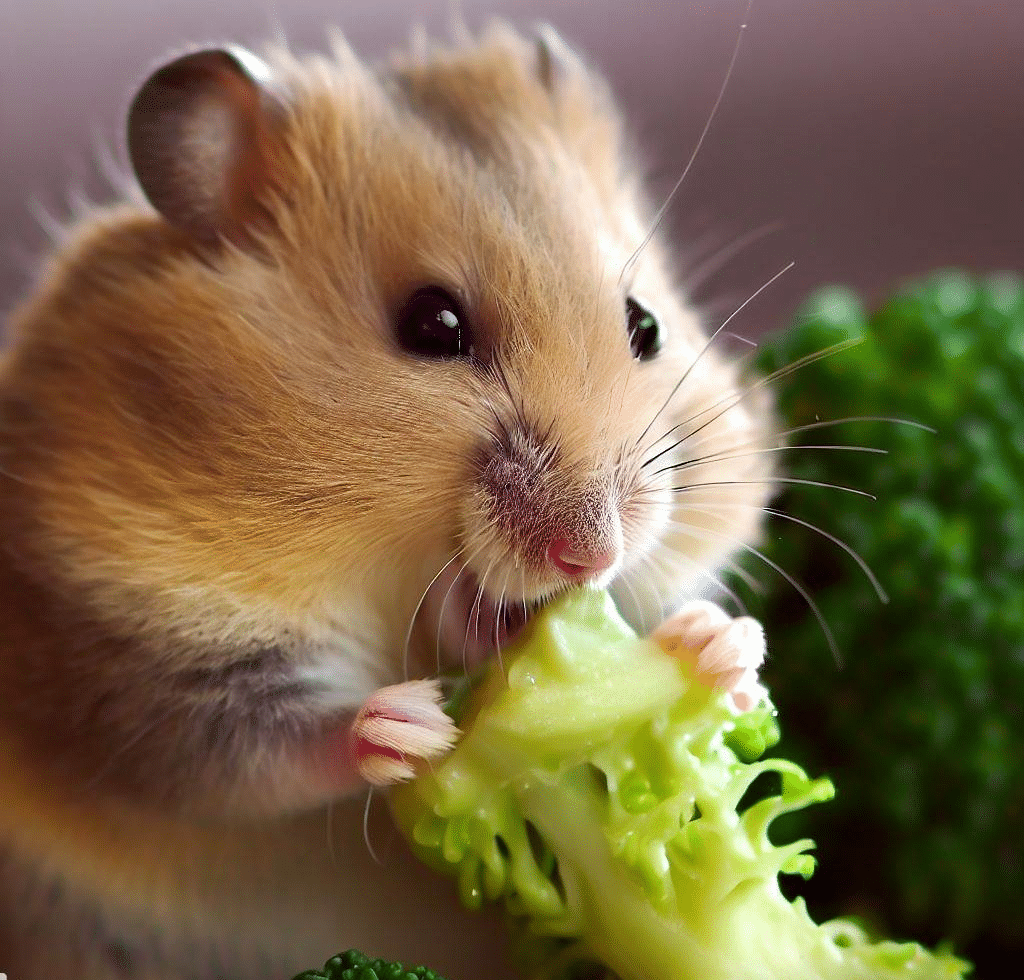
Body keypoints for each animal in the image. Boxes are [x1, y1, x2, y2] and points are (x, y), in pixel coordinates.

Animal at [0, 22, 770, 978]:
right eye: (431, 325)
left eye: (646, 326)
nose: (590, 555)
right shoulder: (129, 647)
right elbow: (248, 752)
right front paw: (416, 729)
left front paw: (720, 647)